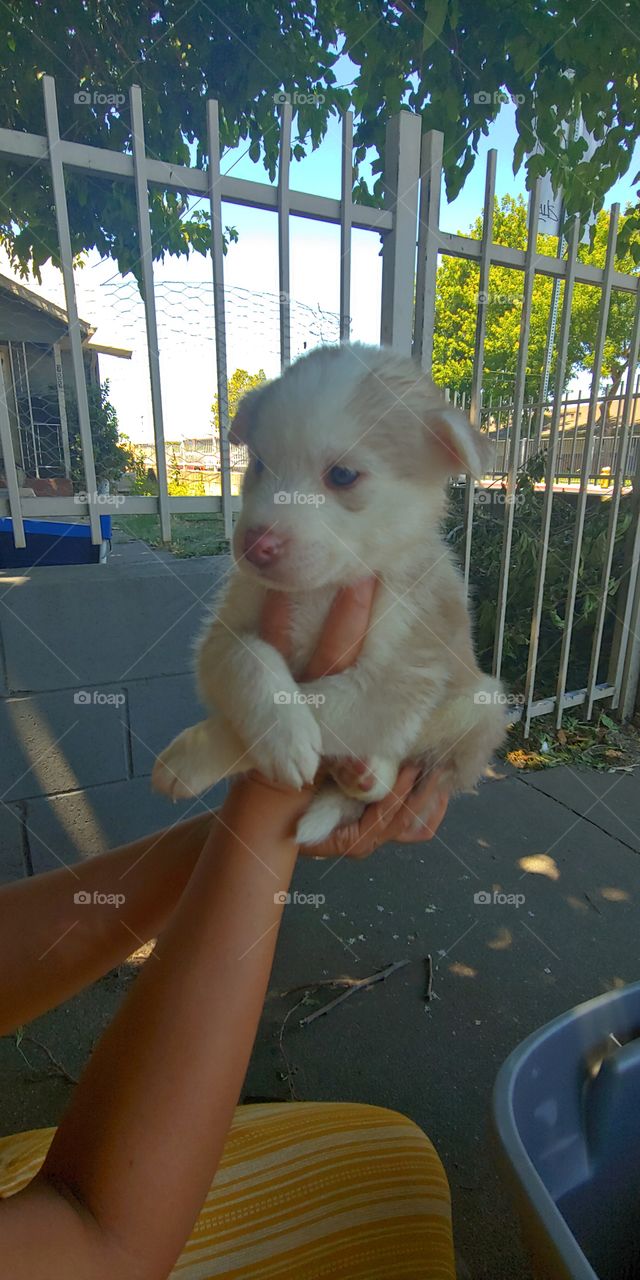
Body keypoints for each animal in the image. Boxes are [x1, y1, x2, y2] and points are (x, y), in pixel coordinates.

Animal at [152, 343, 506, 839]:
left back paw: (369, 773)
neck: (321, 591)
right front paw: (268, 729)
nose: (254, 544)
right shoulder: (222, 633)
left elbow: (320, 706)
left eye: (342, 476)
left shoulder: (396, 677)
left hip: (481, 703)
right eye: (259, 464)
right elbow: (248, 658)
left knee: (410, 757)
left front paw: (200, 754)